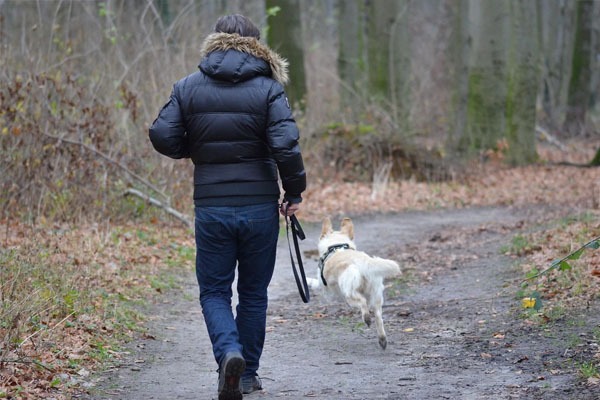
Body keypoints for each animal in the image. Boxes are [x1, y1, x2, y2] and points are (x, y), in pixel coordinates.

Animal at [308, 217, 400, 348]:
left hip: (349, 295)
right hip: (376, 296)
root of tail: (363, 262)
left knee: (363, 303)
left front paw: (307, 280)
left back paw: (367, 318)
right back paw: (382, 339)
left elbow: (315, 283)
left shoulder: (323, 285)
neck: (336, 246)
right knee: (378, 317)